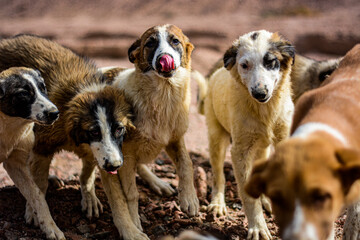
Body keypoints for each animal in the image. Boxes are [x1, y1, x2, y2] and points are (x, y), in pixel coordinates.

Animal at [0, 67, 62, 240]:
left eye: (43, 88)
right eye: (23, 94)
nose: (55, 113)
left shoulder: (15, 164)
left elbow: (37, 194)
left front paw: (50, 227)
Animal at [95, 24, 198, 240]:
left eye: (175, 41)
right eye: (150, 43)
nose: (164, 58)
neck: (163, 96)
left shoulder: (175, 139)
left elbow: (187, 163)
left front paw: (189, 198)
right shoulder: (124, 155)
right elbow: (130, 194)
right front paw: (134, 223)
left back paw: (158, 183)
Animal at [194, 30, 296, 240]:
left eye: (270, 61)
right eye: (244, 65)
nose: (259, 93)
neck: (265, 111)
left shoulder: (284, 140)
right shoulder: (240, 152)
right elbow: (248, 195)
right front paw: (257, 227)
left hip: (261, 149)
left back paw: (266, 201)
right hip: (217, 139)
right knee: (218, 175)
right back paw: (218, 203)